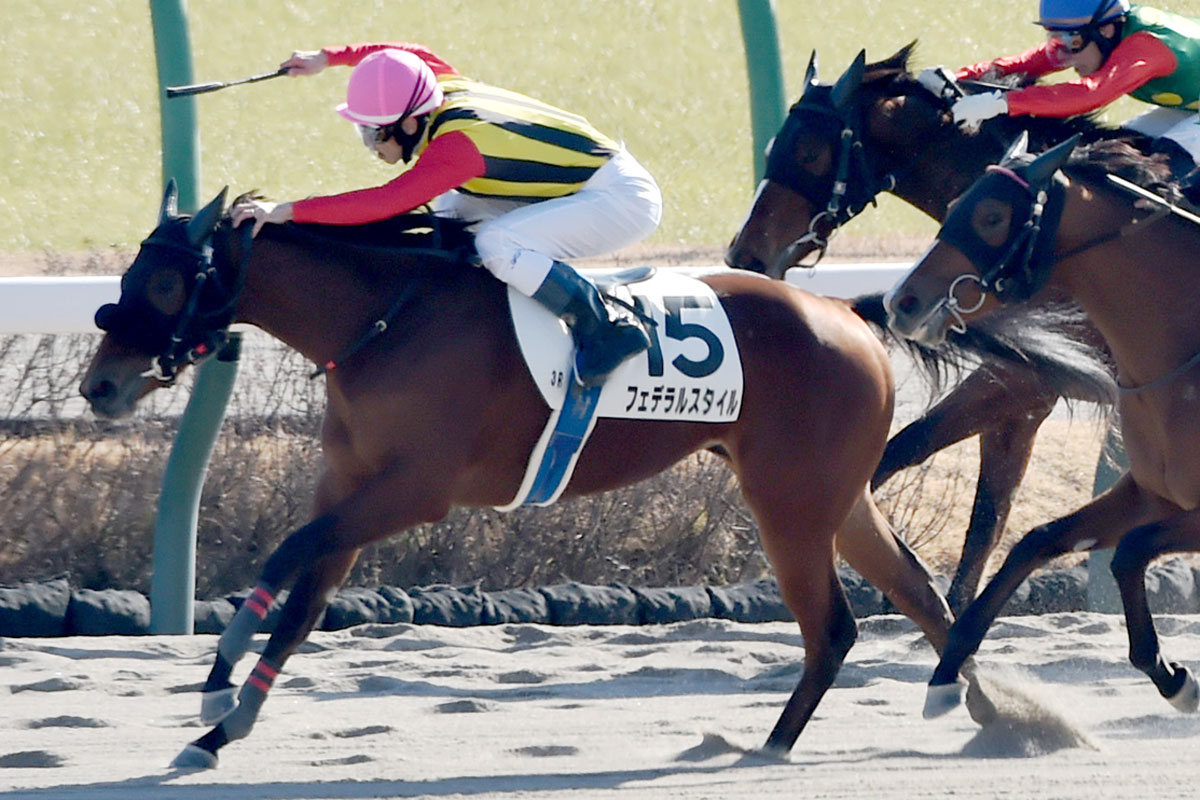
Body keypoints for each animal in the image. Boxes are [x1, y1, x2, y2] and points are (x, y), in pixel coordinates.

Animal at [79, 183, 996, 768]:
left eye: (168, 280)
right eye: (129, 276)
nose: (100, 386)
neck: (384, 318)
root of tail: (843, 311)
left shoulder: (415, 492)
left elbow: (284, 556)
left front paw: (217, 682)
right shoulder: (349, 485)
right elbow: (303, 602)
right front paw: (217, 731)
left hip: (790, 504)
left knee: (833, 626)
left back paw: (772, 747)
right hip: (835, 495)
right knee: (920, 592)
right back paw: (993, 717)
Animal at [726, 44, 1125, 614]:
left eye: (808, 153)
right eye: (772, 147)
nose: (745, 255)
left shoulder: (1030, 380)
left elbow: (917, 459)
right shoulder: (1023, 385)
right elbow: (980, 504)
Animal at [885, 132, 1200, 717]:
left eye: (990, 216)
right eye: (955, 204)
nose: (903, 301)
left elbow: (1129, 552)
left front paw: (1172, 677)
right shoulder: (1155, 493)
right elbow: (1036, 540)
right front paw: (946, 672)